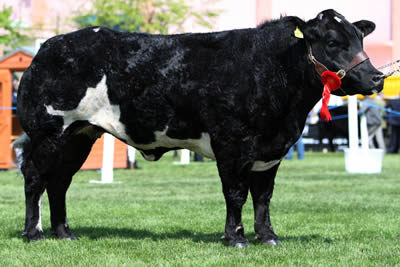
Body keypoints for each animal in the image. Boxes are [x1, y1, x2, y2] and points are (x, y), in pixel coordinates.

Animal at [16, 9, 384, 248]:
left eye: (359, 38)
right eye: (332, 41)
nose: (377, 77)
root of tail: (47, 47)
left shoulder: (271, 150)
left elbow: (263, 195)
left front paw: (267, 237)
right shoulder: (233, 143)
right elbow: (235, 193)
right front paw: (235, 238)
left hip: (79, 136)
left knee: (59, 182)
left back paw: (64, 232)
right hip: (47, 133)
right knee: (35, 178)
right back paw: (33, 233)